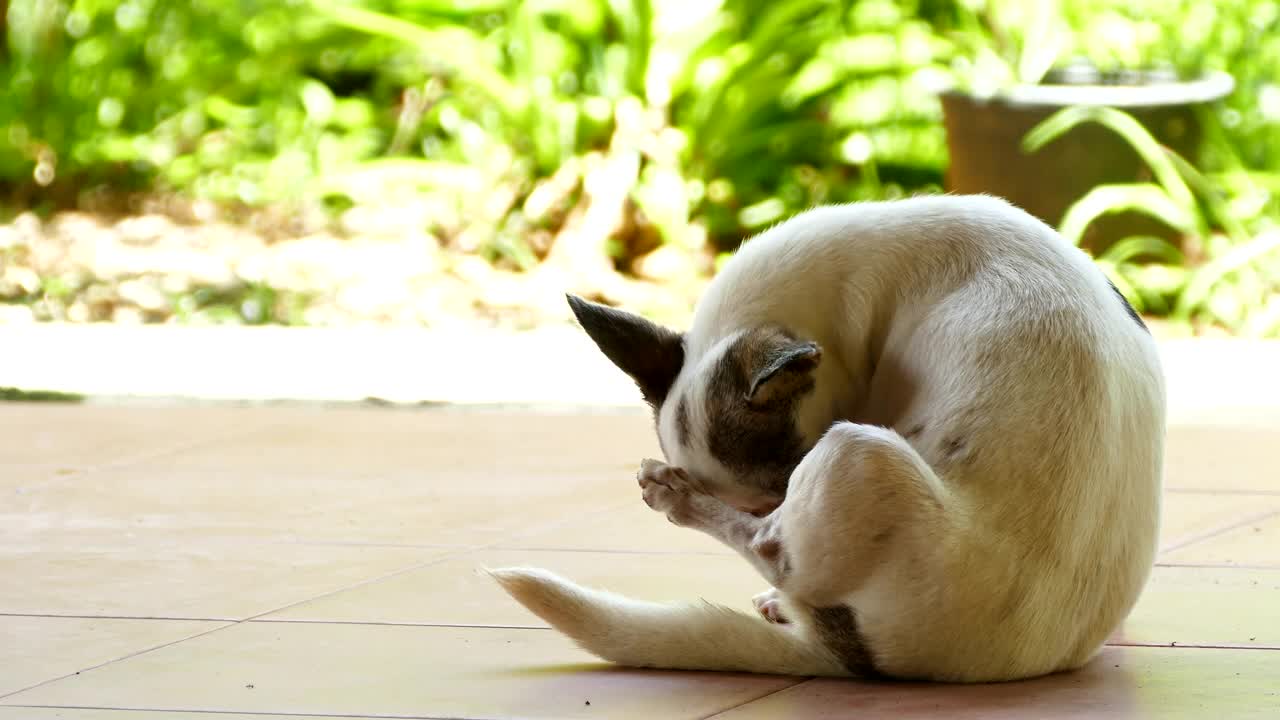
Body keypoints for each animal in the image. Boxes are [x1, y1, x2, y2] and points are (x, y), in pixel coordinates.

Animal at [486, 194, 1162, 676]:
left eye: (780, 489)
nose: (778, 507)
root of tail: (861, 656)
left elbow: (765, 538)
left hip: (857, 449)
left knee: (769, 552)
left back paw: (679, 502)